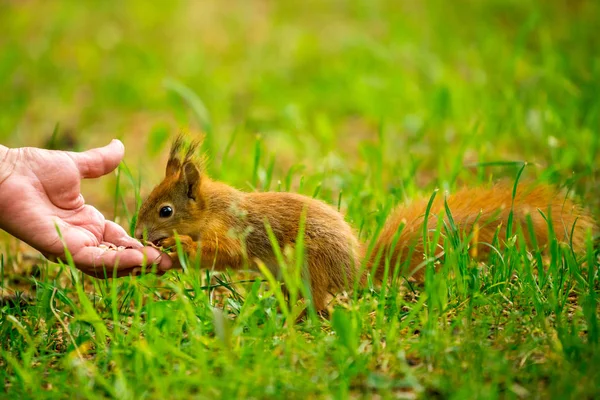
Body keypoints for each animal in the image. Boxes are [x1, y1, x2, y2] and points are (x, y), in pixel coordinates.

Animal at [134, 138, 596, 312]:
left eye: (165, 211)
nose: (138, 234)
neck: (212, 208)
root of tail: (355, 275)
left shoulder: (234, 228)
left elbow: (225, 254)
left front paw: (181, 248)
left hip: (312, 265)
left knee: (321, 305)